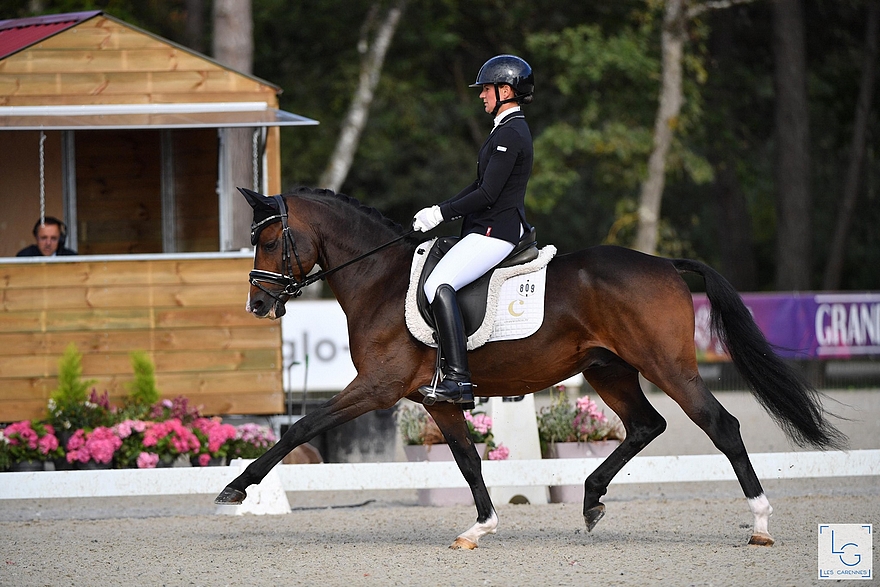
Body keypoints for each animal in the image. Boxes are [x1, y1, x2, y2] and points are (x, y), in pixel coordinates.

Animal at [215, 188, 844, 552]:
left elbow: (301, 426)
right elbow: (468, 460)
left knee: (721, 426)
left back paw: (760, 524)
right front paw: (481, 526)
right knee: (646, 425)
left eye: (268, 240)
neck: (381, 280)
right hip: (609, 371)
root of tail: (665, 263)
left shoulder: (376, 387)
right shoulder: (436, 398)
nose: (258, 305)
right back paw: (590, 500)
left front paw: (235, 489)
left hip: (666, 366)